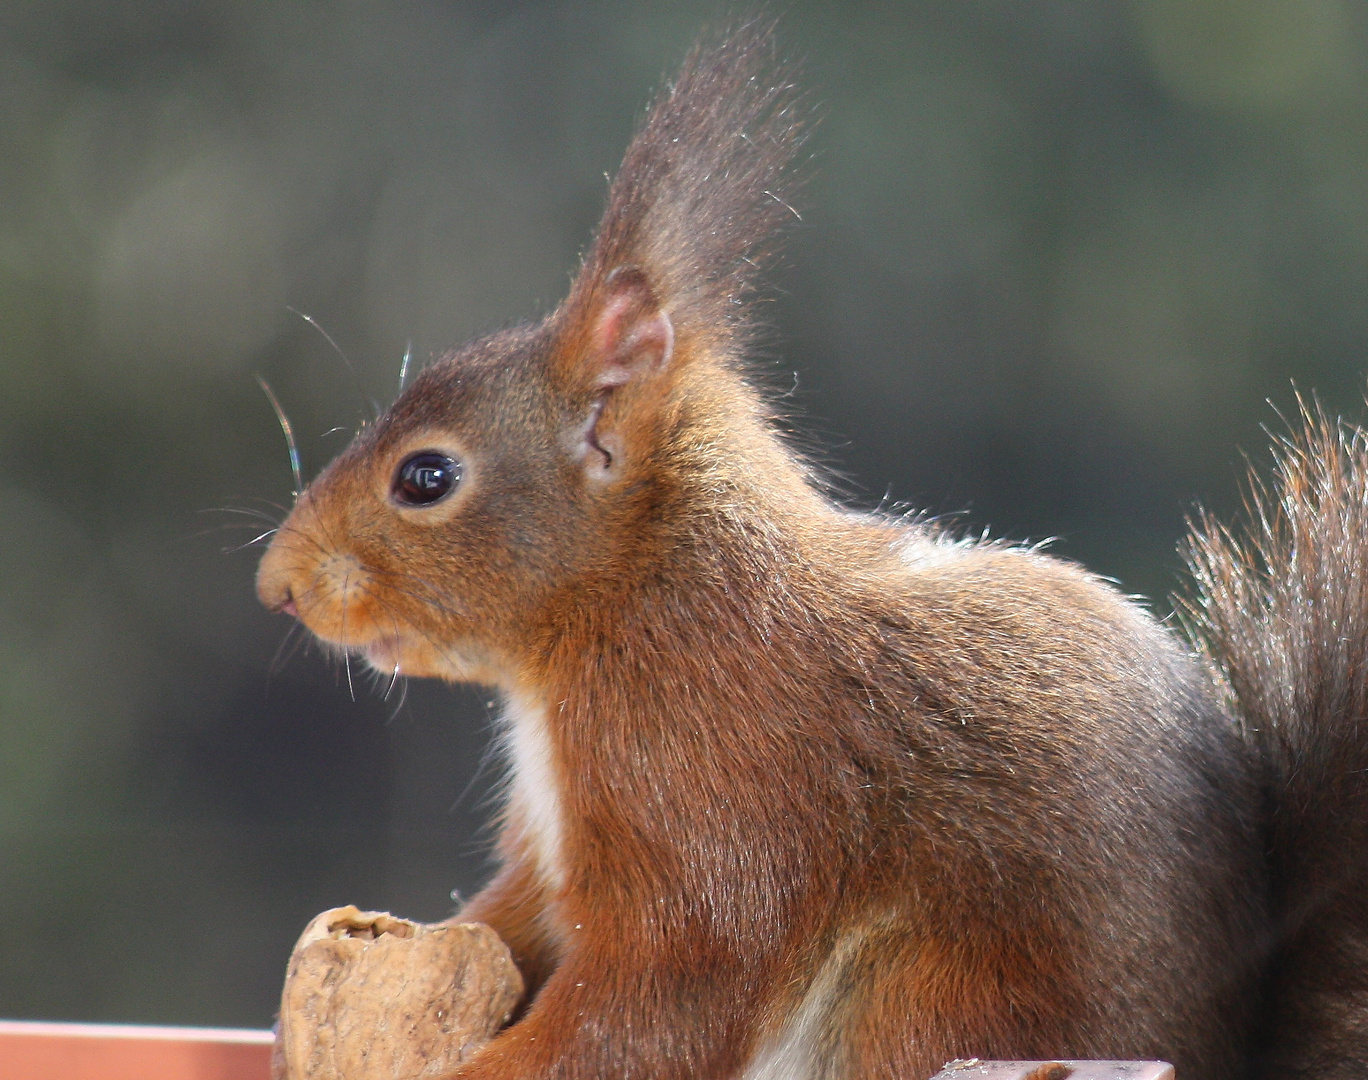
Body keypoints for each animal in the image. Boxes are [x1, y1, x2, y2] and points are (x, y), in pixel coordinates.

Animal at [254, 23, 1368, 1078]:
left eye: (425, 479)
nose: (278, 586)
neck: (634, 596)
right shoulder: (555, 846)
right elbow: (510, 920)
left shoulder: (711, 785)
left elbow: (662, 997)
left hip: (925, 1003)